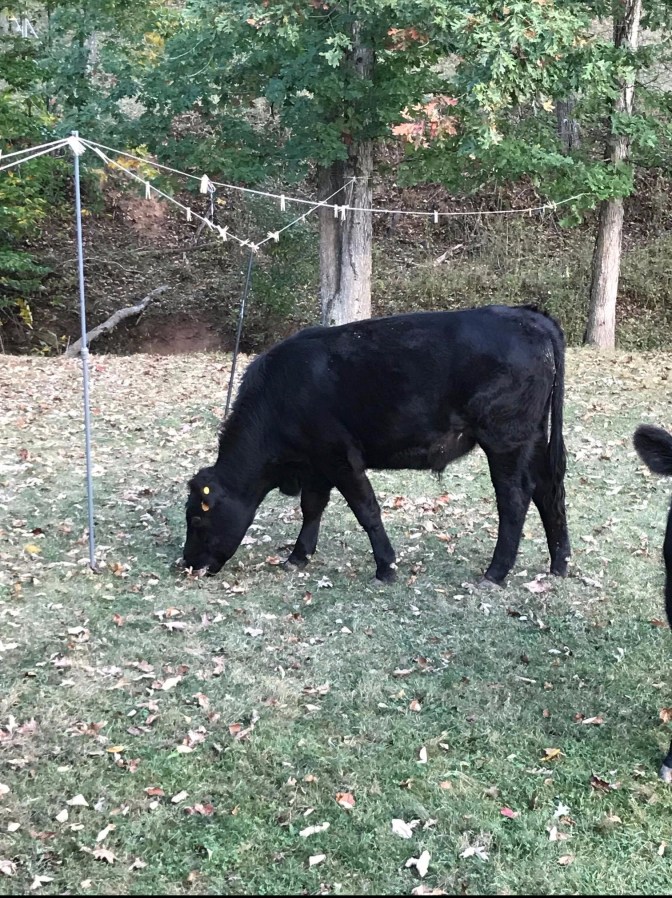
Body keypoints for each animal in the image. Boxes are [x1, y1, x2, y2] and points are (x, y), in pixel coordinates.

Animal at [182, 305, 570, 587]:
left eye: (196, 519)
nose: (186, 563)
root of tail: (528, 314)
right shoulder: (316, 464)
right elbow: (312, 507)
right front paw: (298, 556)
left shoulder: (340, 457)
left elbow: (366, 510)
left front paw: (386, 567)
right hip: (535, 436)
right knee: (548, 490)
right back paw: (560, 563)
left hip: (505, 438)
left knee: (515, 498)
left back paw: (495, 573)